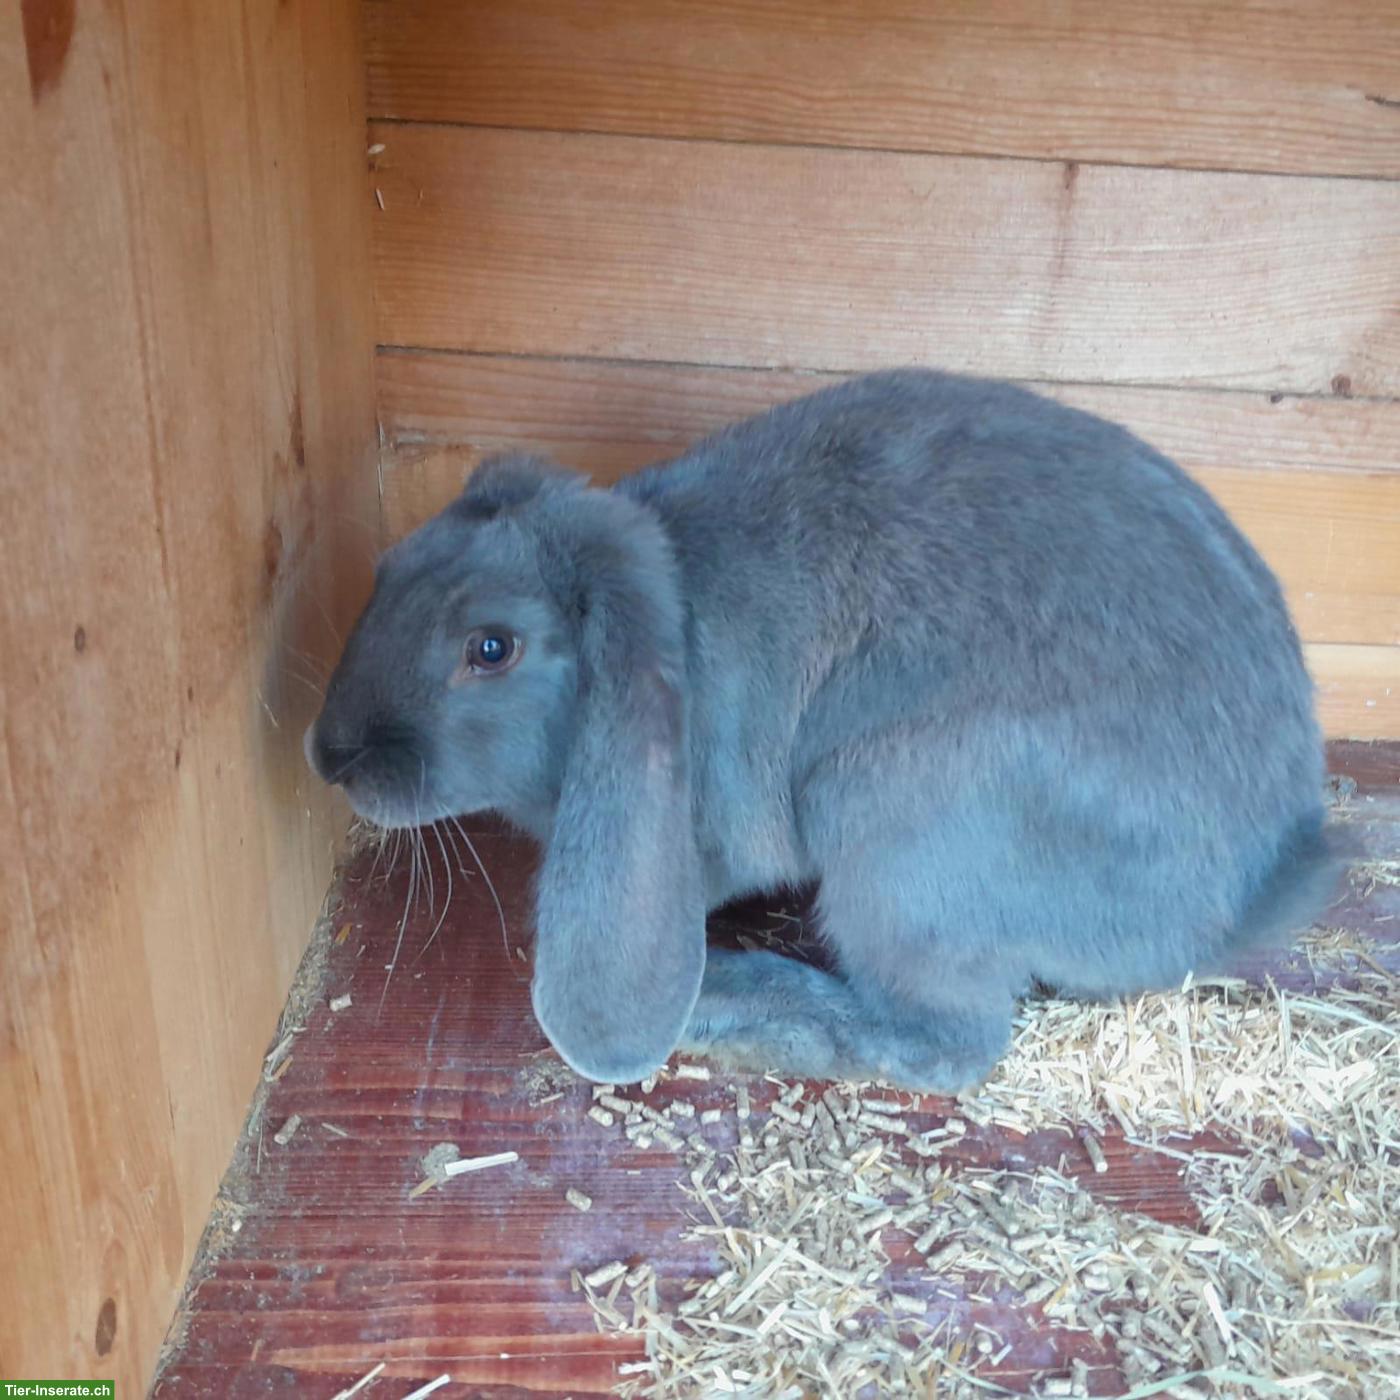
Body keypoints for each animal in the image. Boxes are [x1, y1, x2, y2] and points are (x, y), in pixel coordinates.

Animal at [305, 368, 1342, 1091]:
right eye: (391, 567)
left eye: (491, 647)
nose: (330, 755)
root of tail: (1247, 890)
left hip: (895, 813)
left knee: (945, 1043)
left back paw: (739, 1011)